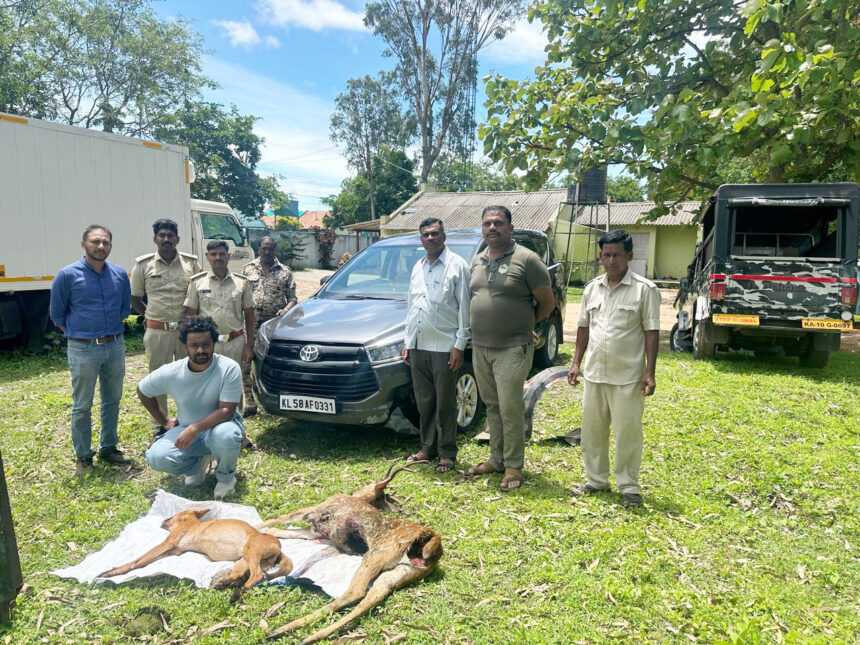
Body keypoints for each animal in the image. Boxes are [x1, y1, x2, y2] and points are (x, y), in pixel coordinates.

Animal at [98, 508, 292, 604]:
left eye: (173, 515)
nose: (163, 520)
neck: (191, 524)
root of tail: (279, 546)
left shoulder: (167, 544)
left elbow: (137, 561)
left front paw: (113, 571)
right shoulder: (173, 550)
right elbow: (144, 560)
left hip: (251, 550)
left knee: (256, 575)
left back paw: (236, 593)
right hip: (245, 559)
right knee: (245, 574)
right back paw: (226, 584)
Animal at [255, 460, 444, 640]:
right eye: (385, 496)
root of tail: (434, 548)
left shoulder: (317, 509)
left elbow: (279, 518)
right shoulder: (315, 532)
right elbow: (278, 530)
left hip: (377, 554)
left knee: (356, 592)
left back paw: (285, 631)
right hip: (401, 572)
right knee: (373, 597)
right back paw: (299, 635)